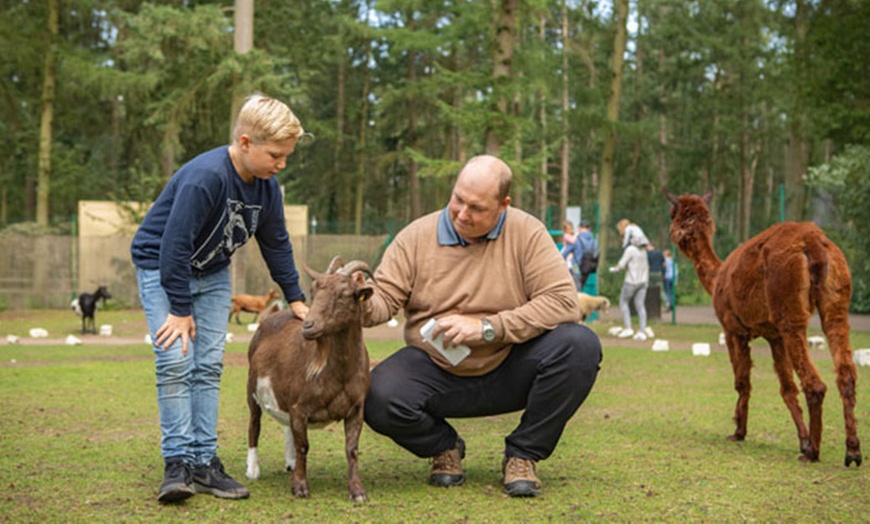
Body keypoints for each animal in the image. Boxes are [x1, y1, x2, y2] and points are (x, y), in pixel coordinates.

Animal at [244, 256, 372, 502]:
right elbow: (303, 445)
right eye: (313, 292)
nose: (308, 325)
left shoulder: (357, 408)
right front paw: (300, 488)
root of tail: (270, 316)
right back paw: (252, 470)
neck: (339, 372)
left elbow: (351, 449)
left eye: (344, 294)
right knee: (254, 423)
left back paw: (291, 463)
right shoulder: (299, 407)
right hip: (252, 389)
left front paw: (358, 491)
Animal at [672, 189, 860, 466]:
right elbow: (787, 389)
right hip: (835, 302)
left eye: (673, 215)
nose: (674, 234)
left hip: (789, 308)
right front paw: (803, 440)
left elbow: (742, 382)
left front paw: (739, 432)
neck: (718, 278)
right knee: (845, 375)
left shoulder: (734, 330)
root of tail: (813, 241)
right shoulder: (774, 336)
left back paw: (813, 453)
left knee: (815, 385)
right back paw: (853, 451)